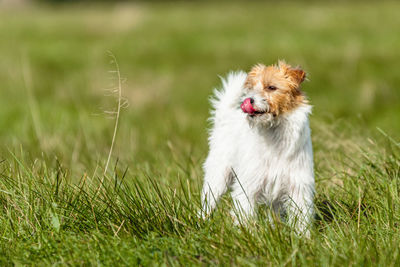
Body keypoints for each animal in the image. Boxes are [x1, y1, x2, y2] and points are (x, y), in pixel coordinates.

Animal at [202, 61, 314, 236]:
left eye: (271, 87)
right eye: (252, 88)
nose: (249, 99)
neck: (274, 134)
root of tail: (225, 119)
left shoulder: (298, 186)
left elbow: (301, 216)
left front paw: (303, 237)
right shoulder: (248, 185)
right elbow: (245, 213)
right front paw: (247, 235)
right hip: (217, 177)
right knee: (208, 203)